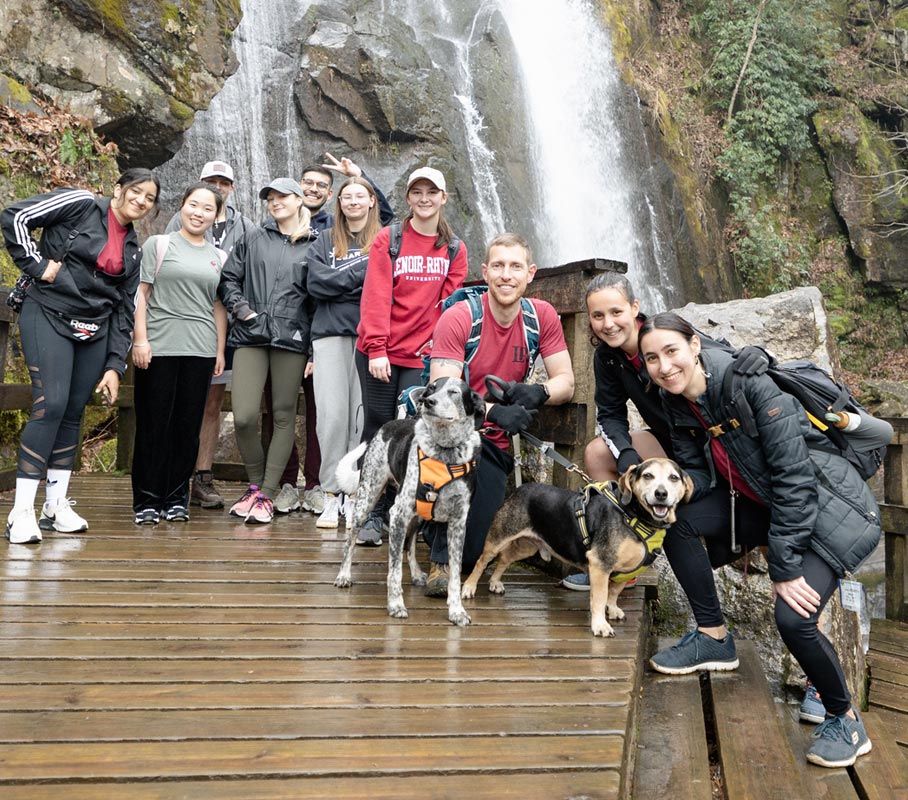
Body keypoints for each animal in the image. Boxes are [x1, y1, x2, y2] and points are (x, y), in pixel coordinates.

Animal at [334, 378, 486, 628]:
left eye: (454, 392)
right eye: (432, 388)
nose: (429, 401)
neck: (444, 452)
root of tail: (390, 423)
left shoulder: (457, 524)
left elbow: (455, 575)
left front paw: (457, 611)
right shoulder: (398, 514)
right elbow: (394, 571)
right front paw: (396, 605)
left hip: (417, 517)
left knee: (410, 546)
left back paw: (415, 573)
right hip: (367, 499)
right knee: (350, 542)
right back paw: (343, 575)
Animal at [464, 460, 692, 636]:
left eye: (673, 478)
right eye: (648, 475)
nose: (661, 493)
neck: (635, 515)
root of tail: (522, 488)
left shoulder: (626, 570)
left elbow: (614, 593)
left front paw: (612, 609)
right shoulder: (600, 564)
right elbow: (599, 598)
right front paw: (600, 625)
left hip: (527, 546)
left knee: (504, 558)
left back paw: (495, 582)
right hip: (499, 536)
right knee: (482, 560)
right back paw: (469, 587)